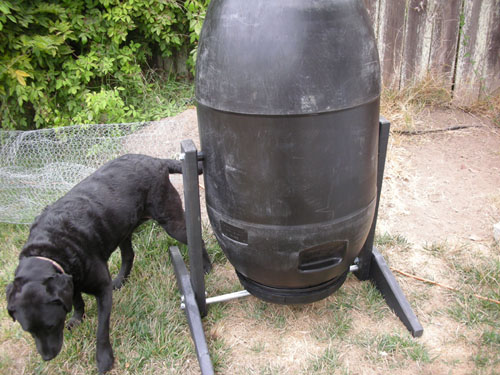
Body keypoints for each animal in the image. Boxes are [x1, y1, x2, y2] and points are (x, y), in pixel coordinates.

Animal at [6, 154, 213, 374]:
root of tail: (155, 160)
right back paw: (120, 280)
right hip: (123, 229)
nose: (48, 357)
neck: (50, 247)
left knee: (196, 240)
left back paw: (206, 267)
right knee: (129, 255)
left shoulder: (102, 289)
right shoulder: (71, 279)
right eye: (29, 331)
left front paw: (104, 359)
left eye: (51, 326)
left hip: (171, 222)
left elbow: (101, 330)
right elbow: (77, 301)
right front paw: (77, 319)